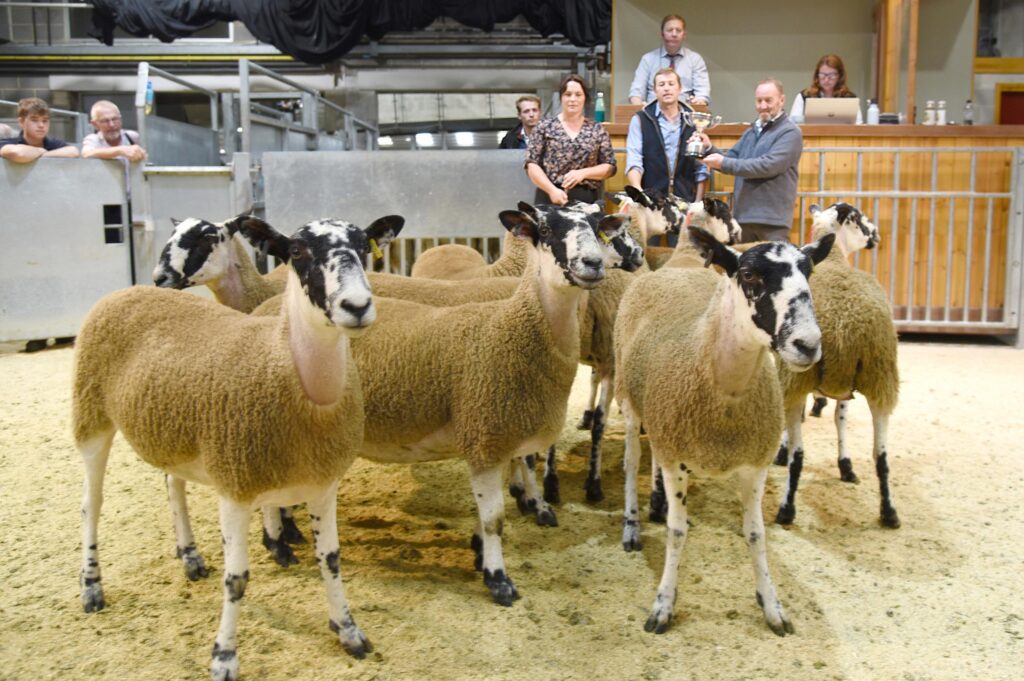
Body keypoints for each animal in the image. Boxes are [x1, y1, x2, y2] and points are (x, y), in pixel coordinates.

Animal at [75, 215, 401, 675]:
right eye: (296, 251)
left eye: (362, 245)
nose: (356, 306)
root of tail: (132, 288)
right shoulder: (234, 485)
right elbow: (237, 580)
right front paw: (224, 658)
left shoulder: (324, 483)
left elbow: (331, 560)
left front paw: (349, 630)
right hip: (91, 414)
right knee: (92, 504)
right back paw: (91, 587)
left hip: (172, 431)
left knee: (173, 485)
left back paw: (190, 557)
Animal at [610, 225, 835, 634]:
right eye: (748, 275)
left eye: (809, 272)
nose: (808, 345)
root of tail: (671, 270)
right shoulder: (675, 456)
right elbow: (675, 533)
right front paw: (663, 605)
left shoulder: (755, 463)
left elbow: (756, 534)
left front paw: (772, 606)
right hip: (629, 400)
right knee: (632, 463)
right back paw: (632, 526)